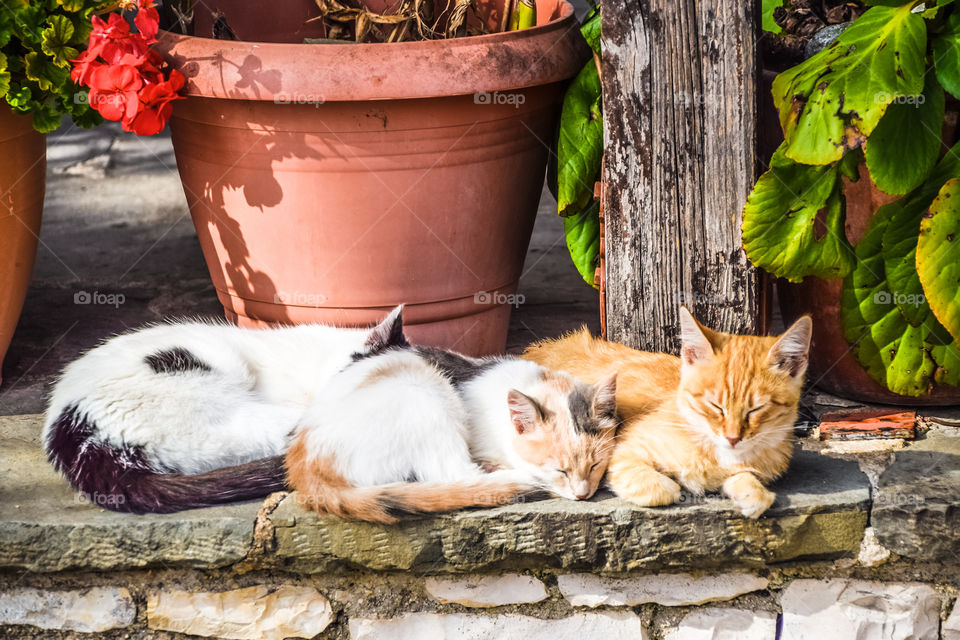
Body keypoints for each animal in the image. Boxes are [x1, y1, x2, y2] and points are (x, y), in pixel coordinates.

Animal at [284, 312, 620, 524]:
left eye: (595, 466)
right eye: (559, 470)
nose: (583, 494)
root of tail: (306, 464)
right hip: (423, 394)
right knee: (455, 473)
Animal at [524, 308, 808, 516]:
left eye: (756, 408)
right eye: (715, 405)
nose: (733, 438)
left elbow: (747, 483)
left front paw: (752, 493)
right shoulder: (623, 452)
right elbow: (663, 489)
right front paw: (675, 486)